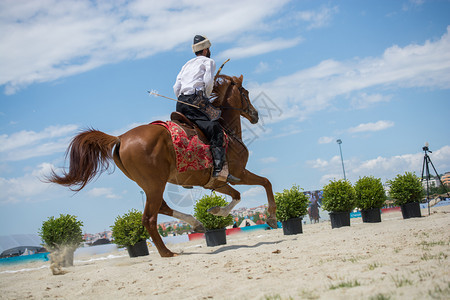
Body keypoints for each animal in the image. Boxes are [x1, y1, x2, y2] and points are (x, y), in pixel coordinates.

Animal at [47, 75, 276, 258]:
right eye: (245, 93)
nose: (255, 114)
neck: (226, 129)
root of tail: (120, 137)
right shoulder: (239, 173)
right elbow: (265, 183)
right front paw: (272, 217)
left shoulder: (217, 183)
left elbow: (237, 196)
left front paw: (216, 211)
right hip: (155, 184)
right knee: (149, 218)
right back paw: (167, 252)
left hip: (151, 185)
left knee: (162, 207)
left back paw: (196, 224)